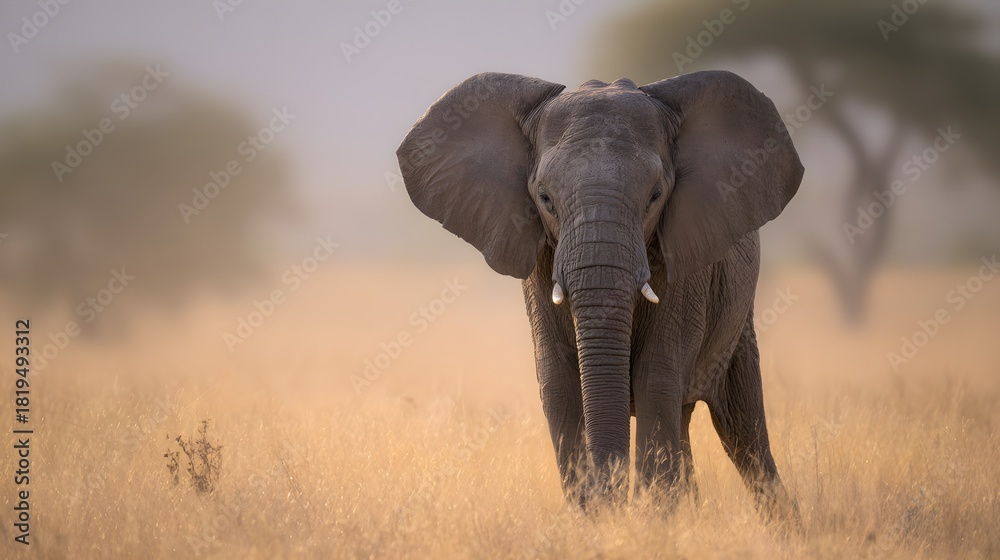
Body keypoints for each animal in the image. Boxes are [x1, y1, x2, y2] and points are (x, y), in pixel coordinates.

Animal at [396, 71, 803, 514]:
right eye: (545, 199)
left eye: (655, 196)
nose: (615, 502)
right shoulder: (539, 260)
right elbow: (558, 386)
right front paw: (597, 518)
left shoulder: (685, 265)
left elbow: (655, 378)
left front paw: (646, 519)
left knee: (743, 429)